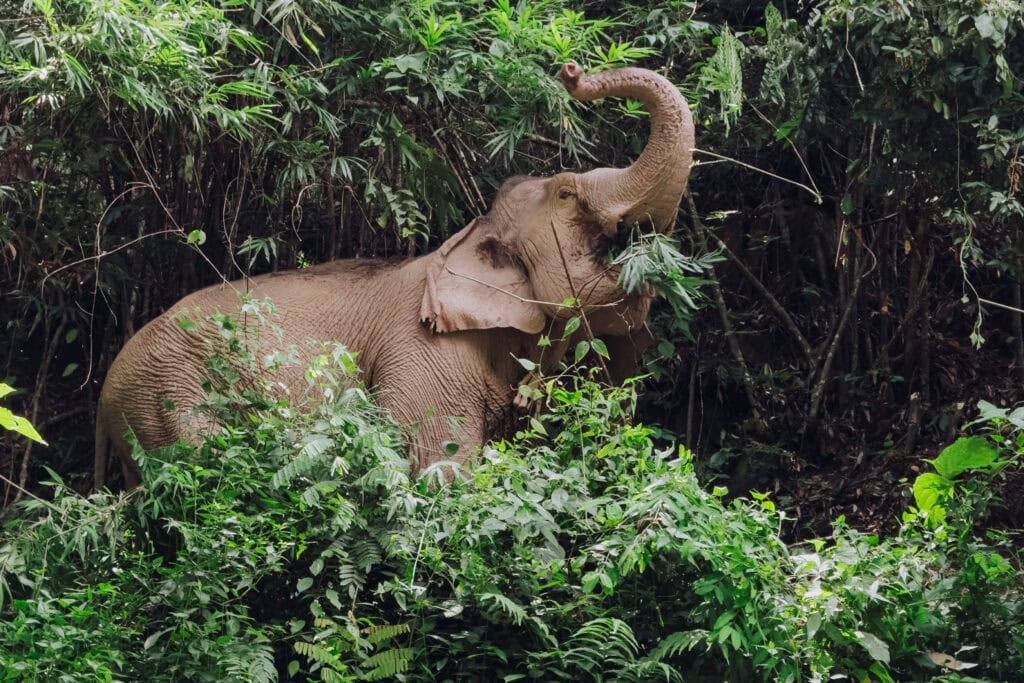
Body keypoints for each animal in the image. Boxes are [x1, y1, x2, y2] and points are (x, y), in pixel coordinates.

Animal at [94, 62, 695, 489]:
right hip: (170, 397)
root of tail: (102, 397)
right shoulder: (425, 354)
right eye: (567, 194)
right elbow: (440, 469)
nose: (570, 71)